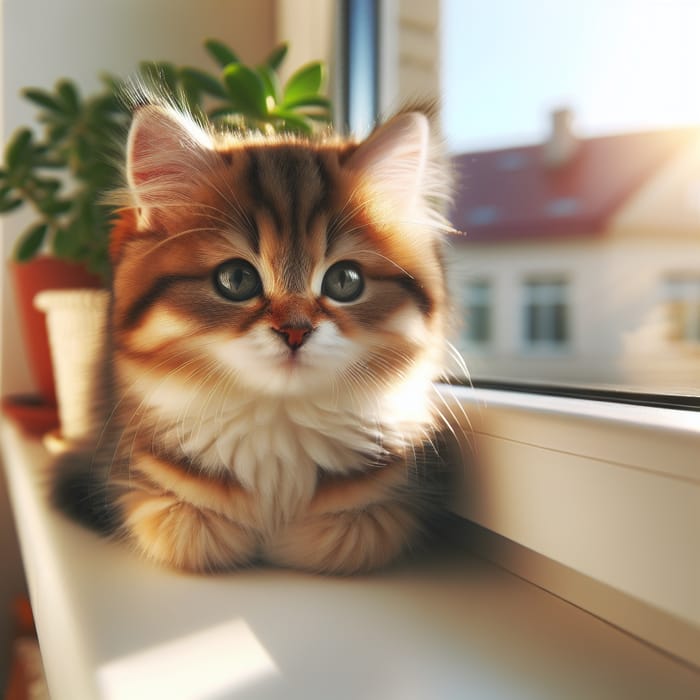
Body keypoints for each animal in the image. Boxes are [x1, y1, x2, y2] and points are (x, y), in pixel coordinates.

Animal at [49, 102, 454, 576]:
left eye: (345, 281)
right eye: (236, 279)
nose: (295, 330)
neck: (279, 427)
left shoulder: (383, 510)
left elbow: (341, 540)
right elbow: (186, 532)